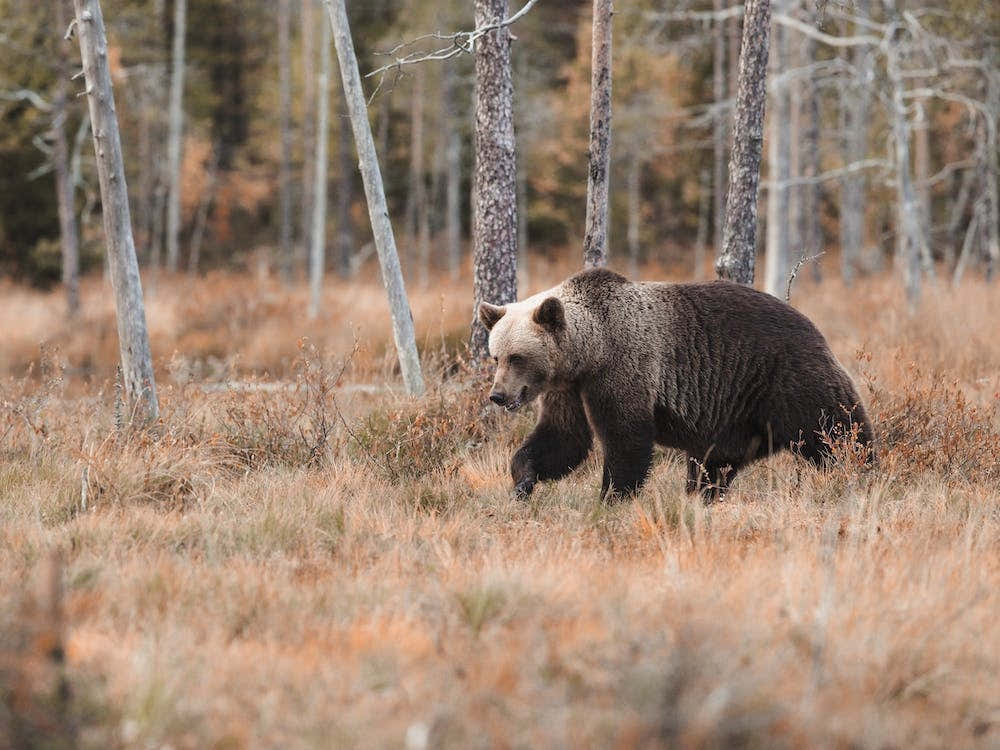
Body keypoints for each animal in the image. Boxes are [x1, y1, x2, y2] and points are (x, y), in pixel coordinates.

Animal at [478, 267, 874, 501]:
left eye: (517, 357)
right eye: (496, 356)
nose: (498, 395)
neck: (589, 351)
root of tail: (814, 326)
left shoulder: (623, 368)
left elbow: (626, 439)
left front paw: (611, 496)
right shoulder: (569, 389)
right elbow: (563, 438)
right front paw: (523, 481)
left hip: (786, 378)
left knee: (836, 429)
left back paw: (862, 472)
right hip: (734, 415)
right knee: (714, 464)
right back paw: (703, 495)